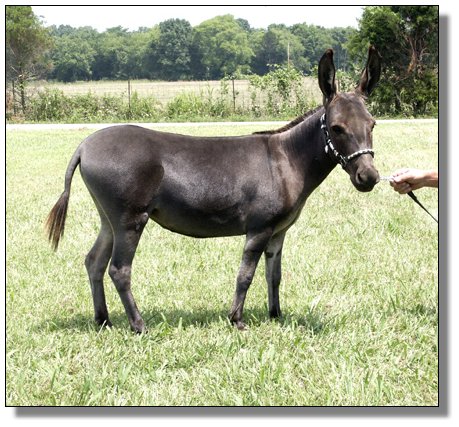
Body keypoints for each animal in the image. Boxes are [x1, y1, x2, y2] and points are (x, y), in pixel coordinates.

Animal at [46, 46, 382, 332]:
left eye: (373, 124)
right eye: (337, 128)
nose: (369, 177)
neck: (288, 159)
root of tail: (84, 145)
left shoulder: (278, 232)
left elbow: (274, 276)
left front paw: (276, 316)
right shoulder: (259, 229)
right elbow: (246, 275)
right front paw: (237, 320)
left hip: (109, 219)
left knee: (94, 262)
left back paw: (103, 321)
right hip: (130, 220)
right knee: (119, 269)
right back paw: (138, 325)